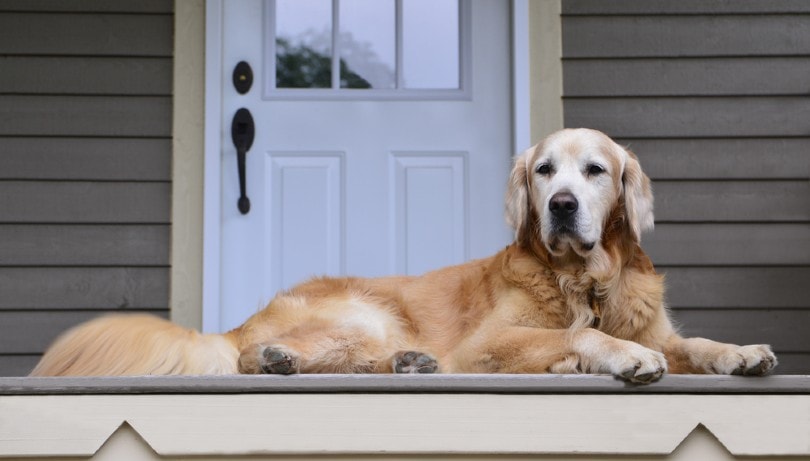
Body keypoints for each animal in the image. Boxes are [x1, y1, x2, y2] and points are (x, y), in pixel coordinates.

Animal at [33, 128, 776, 380]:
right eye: (544, 171)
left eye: (595, 170)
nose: (563, 205)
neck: (586, 282)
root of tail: (239, 322)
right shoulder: (488, 344)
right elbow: (579, 337)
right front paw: (617, 356)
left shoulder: (659, 325)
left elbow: (697, 342)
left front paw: (741, 352)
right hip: (363, 311)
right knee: (255, 357)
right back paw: (275, 357)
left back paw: (408, 361)